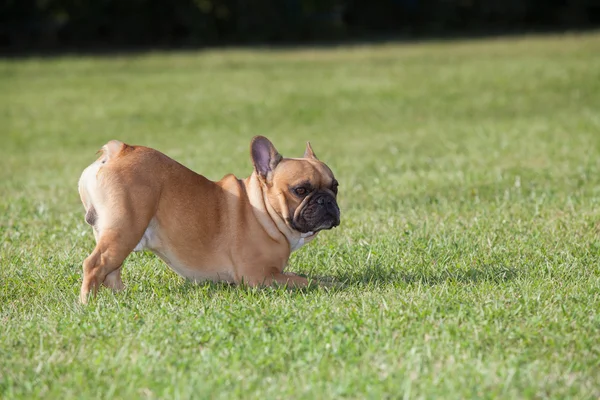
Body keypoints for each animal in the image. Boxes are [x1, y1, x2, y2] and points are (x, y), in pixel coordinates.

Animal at [77, 136, 340, 302]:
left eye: (335, 187)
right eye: (301, 190)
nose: (326, 201)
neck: (264, 211)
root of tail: (119, 150)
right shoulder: (260, 276)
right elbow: (303, 280)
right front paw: (332, 286)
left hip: (113, 231)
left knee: (112, 270)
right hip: (127, 227)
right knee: (95, 264)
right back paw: (88, 303)